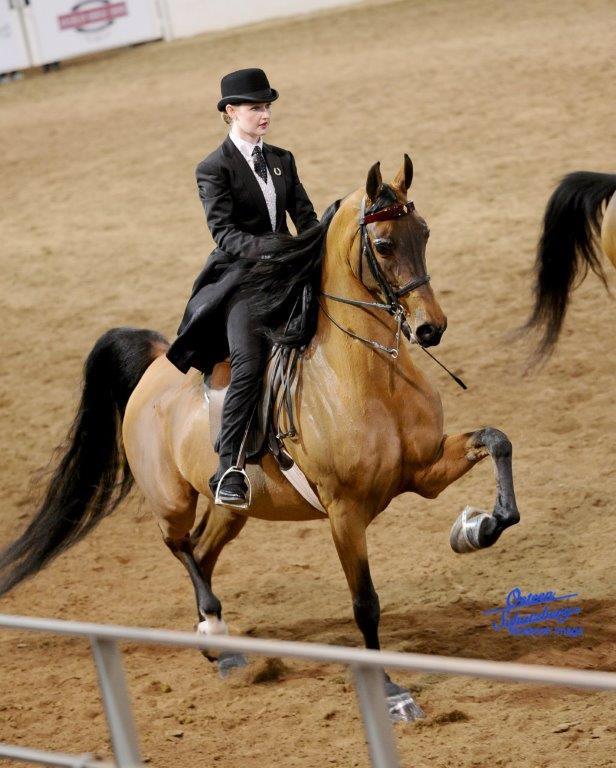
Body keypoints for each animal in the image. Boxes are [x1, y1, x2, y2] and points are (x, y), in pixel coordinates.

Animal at [0, 154, 520, 720]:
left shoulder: (424, 471)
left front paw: (476, 527)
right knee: (179, 545)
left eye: (423, 233)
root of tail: (158, 363)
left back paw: (217, 647)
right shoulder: (344, 511)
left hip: (231, 509)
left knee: (202, 550)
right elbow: (365, 603)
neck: (368, 375)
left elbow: (497, 442)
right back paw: (215, 630)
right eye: (383, 244)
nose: (431, 329)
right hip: (171, 499)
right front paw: (390, 692)